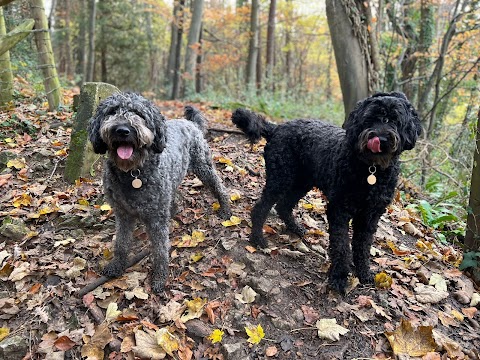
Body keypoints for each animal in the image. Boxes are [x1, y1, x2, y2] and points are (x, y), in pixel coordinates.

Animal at [90, 91, 234, 294]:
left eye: (139, 113)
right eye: (112, 111)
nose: (122, 130)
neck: (133, 172)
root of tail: (190, 123)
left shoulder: (156, 220)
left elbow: (159, 250)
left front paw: (159, 277)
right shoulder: (123, 214)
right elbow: (121, 243)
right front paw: (117, 264)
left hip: (203, 166)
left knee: (218, 186)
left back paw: (226, 209)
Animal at [234, 91, 422, 294]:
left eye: (395, 120)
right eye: (370, 119)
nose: (381, 138)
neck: (371, 170)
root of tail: (277, 128)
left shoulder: (370, 215)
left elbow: (363, 245)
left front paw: (364, 272)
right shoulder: (339, 210)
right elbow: (341, 246)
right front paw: (339, 278)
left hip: (302, 182)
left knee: (283, 205)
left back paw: (296, 228)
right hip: (280, 178)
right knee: (261, 208)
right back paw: (258, 238)